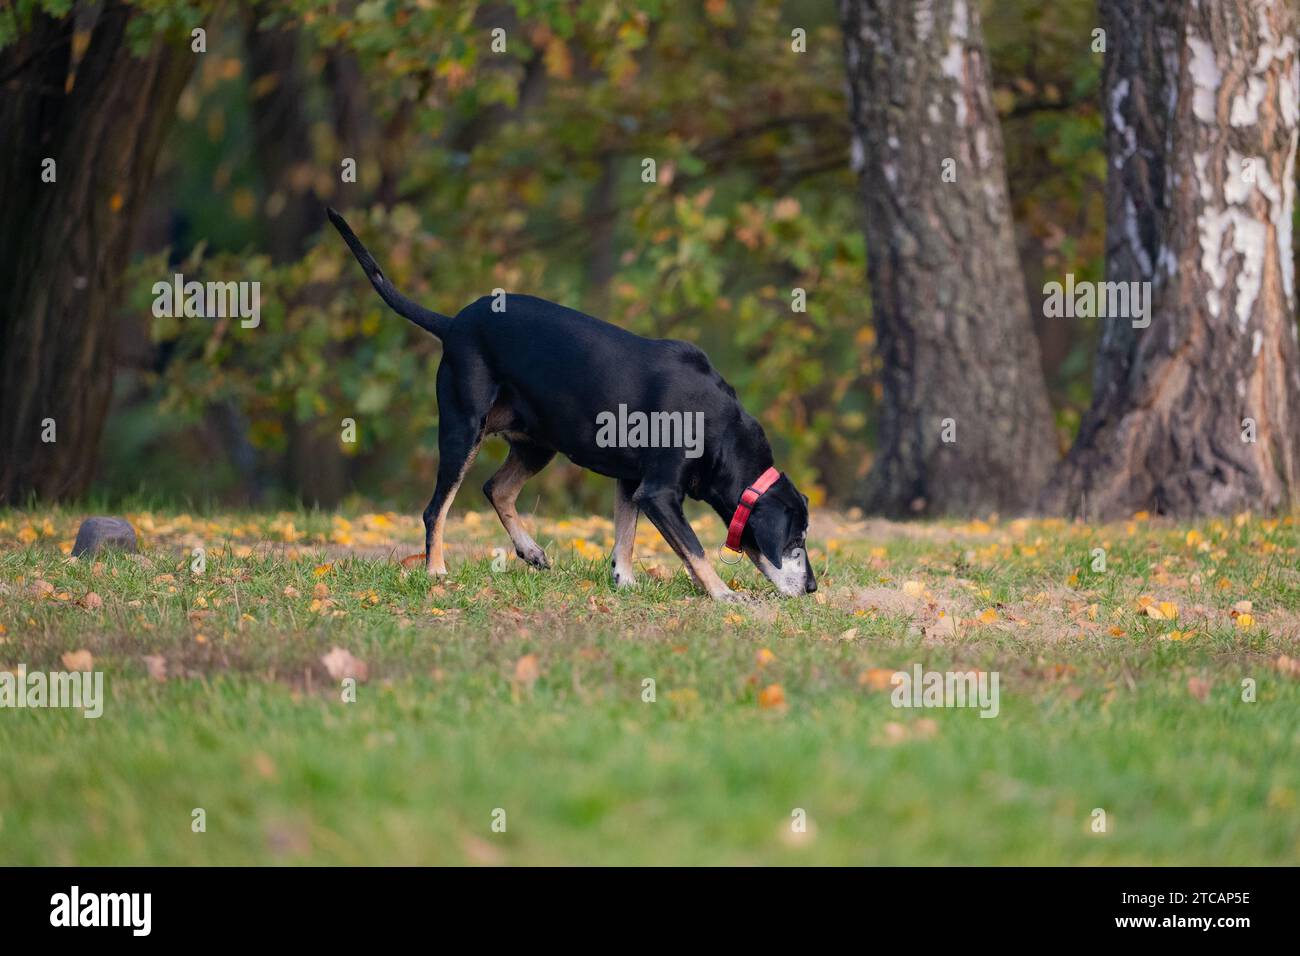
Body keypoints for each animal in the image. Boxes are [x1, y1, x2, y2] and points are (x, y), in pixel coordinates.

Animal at [327, 208, 811, 598]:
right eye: (795, 542)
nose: (812, 587)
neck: (719, 431)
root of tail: (451, 324)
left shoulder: (630, 481)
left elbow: (625, 535)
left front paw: (625, 582)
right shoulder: (658, 491)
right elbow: (693, 548)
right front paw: (723, 595)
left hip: (537, 443)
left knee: (496, 488)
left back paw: (530, 551)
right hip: (463, 429)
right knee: (436, 509)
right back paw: (436, 571)